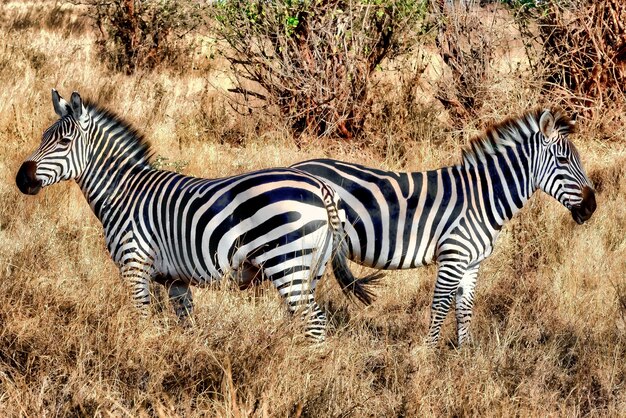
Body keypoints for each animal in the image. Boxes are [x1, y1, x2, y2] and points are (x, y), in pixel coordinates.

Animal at [17, 90, 378, 342]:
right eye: (43, 138)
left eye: (64, 141)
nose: (22, 179)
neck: (122, 191)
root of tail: (321, 187)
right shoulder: (175, 280)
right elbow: (187, 324)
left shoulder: (134, 265)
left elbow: (140, 320)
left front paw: (140, 360)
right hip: (311, 266)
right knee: (306, 318)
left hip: (287, 260)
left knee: (313, 320)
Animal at [292, 108, 596, 346]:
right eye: (563, 160)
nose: (592, 206)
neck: (483, 198)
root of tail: (296, 165)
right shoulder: (453, 256)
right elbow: (440, 307)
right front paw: (428, 358)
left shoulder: (472, 262)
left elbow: (465, 309)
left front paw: (464, 357)